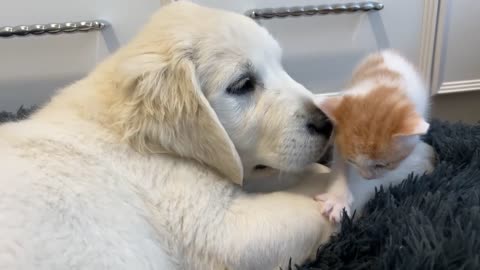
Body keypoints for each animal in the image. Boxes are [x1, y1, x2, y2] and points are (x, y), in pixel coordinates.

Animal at [316, 50, 436, 221]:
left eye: (382, 165)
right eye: (351, 160)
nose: (366, 176)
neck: (383, 85)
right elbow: (340, 162)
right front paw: (338, 198)